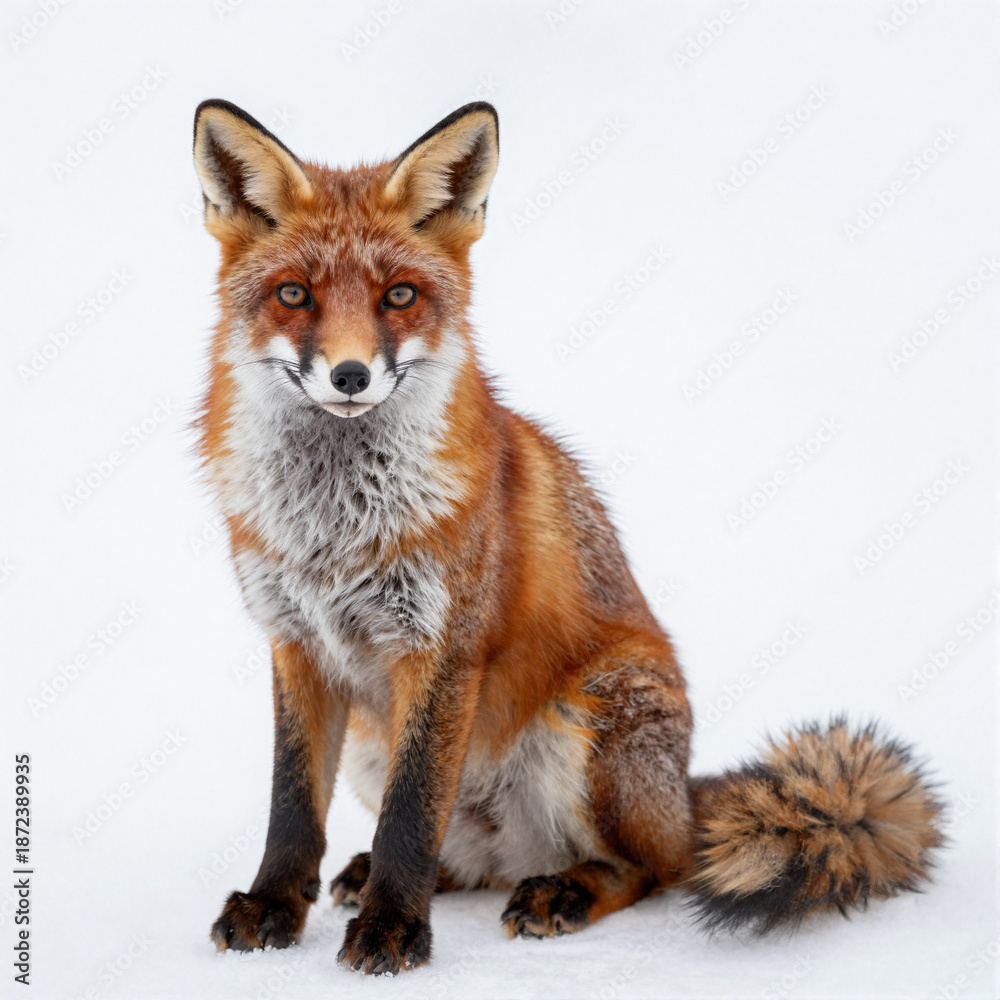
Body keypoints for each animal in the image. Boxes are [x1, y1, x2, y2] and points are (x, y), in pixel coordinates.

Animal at [192, 98, 943, 975]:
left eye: (400, 295)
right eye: (294, 293)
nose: (350, 376)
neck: (334, 528)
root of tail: (684, 798)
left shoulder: (443, 648)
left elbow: (411, 815)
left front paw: (392, 930)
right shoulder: (294, 641)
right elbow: (292, 807)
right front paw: (274, 906)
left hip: (588, 722)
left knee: (648, 867)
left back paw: (562, 891)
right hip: (390, 753)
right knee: (460, 854)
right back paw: (388, 872)